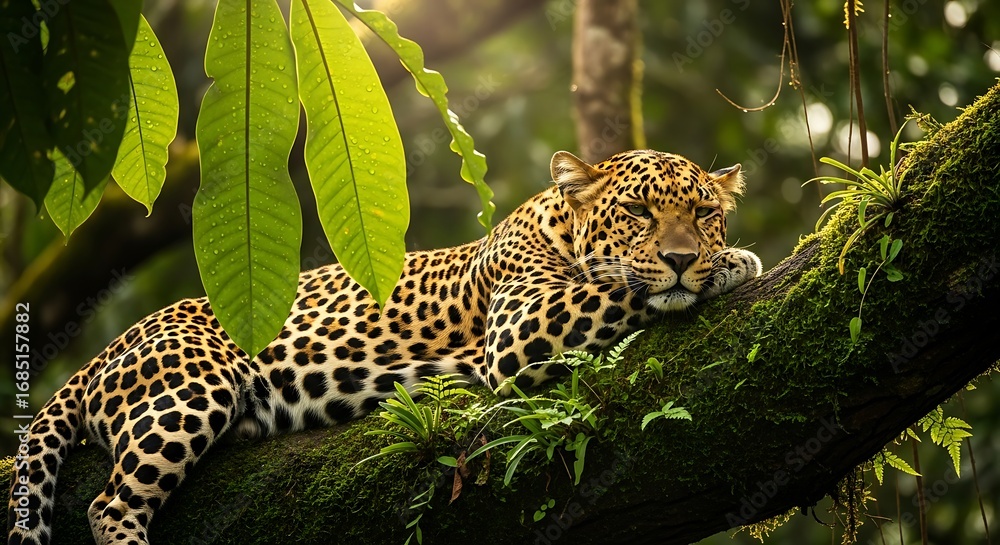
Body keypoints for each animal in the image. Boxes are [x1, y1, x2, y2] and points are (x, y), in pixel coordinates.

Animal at [7, 149, 760, 545]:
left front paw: (719, 261)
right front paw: (732, 264)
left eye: (702, 211)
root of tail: (105, 349)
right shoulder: (521, 326)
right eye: (635, 211)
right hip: (192, 386)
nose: (681, 257)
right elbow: (617, 287)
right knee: (110, 506)